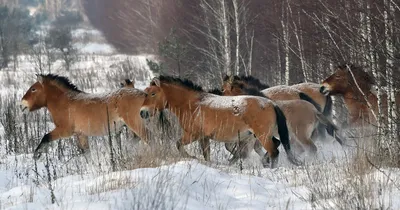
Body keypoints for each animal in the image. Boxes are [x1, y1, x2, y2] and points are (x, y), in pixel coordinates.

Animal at [21, 74, 153, 159]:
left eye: (33, 89)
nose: (22, 105)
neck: (65, 102)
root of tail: (145, 95)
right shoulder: (81, 135)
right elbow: (86, 153)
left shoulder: (64, 131)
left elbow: (46, 137)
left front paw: (37, 155)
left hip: (136, 125)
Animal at [139, 74, 302, 168]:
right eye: (145, 93)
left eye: (153, 94)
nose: (142, 112)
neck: (192, 104)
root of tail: (271, 104)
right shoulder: (204, 138)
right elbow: (206, 154)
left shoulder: (192, 135)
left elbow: (178, 144)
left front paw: (191, 157)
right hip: (260, 135)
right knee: (276, 144)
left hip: (262, 136)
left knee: (274, 151)